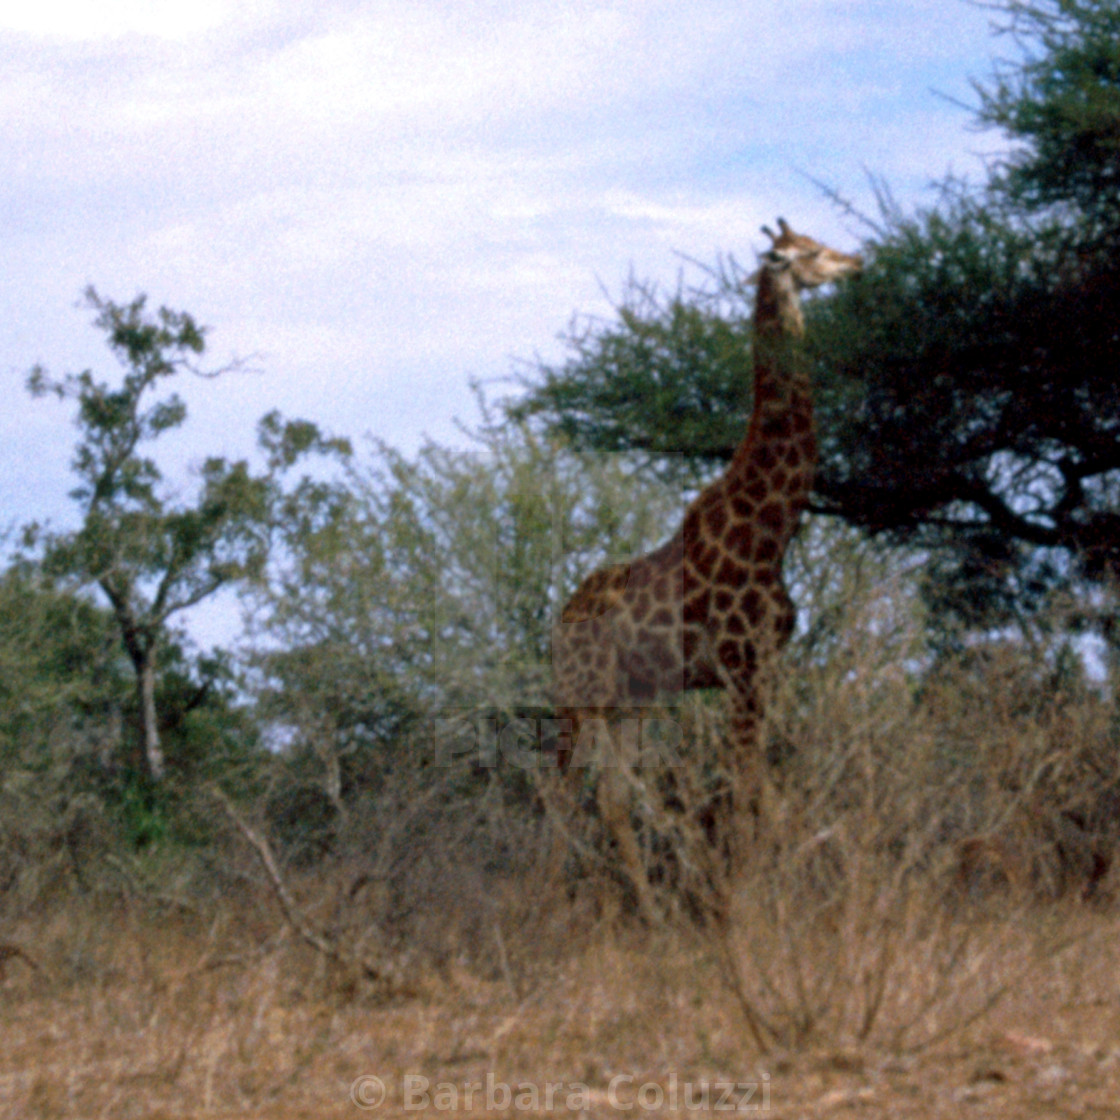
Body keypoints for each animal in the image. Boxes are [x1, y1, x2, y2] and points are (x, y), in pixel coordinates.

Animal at [546, 218, 860, 918]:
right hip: (579, 699)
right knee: (558, 796)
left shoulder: (763, 666)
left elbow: (763, 794)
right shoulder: (742, 667)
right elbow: (749, 793)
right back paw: (556, 909)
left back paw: (653, 913)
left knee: (608, 799)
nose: (855, 260)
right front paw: (755, 903)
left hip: (629, 703)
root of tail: (558, 622)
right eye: (807, 252)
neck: (773, 527)